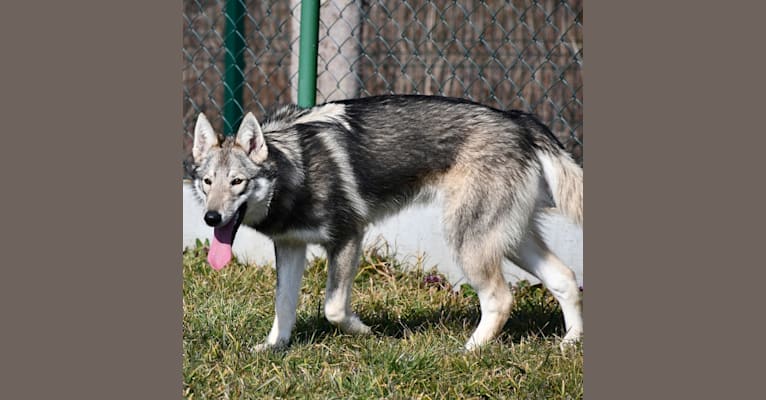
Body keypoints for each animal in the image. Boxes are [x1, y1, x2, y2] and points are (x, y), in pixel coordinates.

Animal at [190, 95, 584, 352]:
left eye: (237, 182)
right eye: (208, 183)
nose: (211, 218)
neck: (295, 170)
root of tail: (518, 119)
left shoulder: (348, 237)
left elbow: (333, 310)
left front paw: (365, 333)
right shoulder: (290, 247)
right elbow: (283, 306)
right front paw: (273, 348)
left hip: (469, 242)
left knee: (500, 299)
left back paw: (468, 351)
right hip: (511, 241)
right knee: (565, 278)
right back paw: (571, 343)